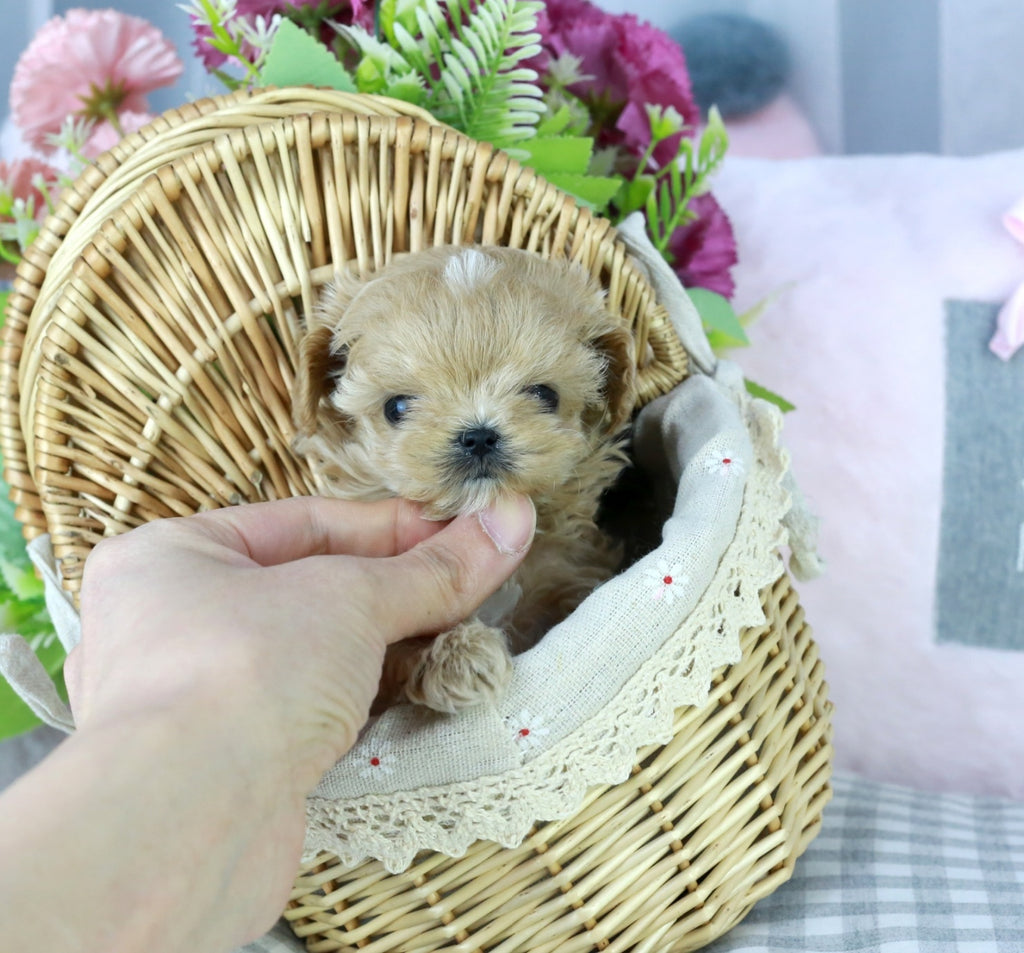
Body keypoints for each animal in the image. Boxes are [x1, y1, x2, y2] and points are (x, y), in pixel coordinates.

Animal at [292, 245, 634, 716]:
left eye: (545, 395)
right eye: (397, 407)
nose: (479, 436)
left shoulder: (571, 564)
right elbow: (396, 651)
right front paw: (461, 658)